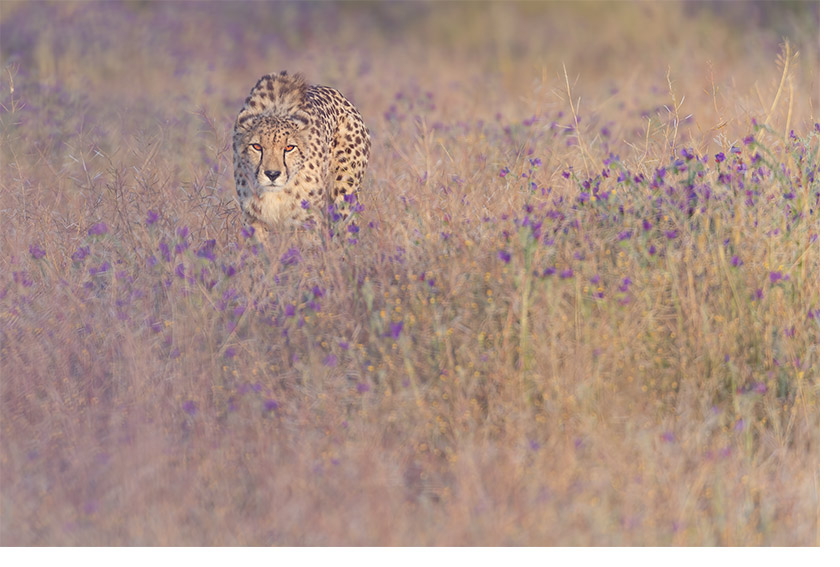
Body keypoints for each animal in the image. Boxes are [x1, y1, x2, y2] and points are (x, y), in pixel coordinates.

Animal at [232, 72, 371, 241]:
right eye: (257, 146)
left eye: (289, 148)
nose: (272, 174)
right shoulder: (253, 219)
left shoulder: (306, 219)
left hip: (344, 192)